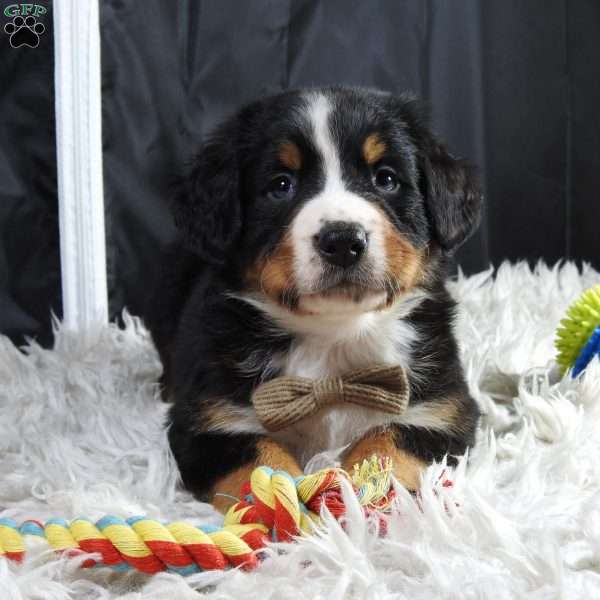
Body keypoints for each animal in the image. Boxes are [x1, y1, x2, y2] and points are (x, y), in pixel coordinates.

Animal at [145, 84, 482, 508]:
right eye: (281, 185)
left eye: (386, 179)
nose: (343, 241)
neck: (333, 338)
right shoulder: (206, 424)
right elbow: (260, 455)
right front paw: (281, 499)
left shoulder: (444, 410)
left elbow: (388, 439)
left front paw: (361, 491)